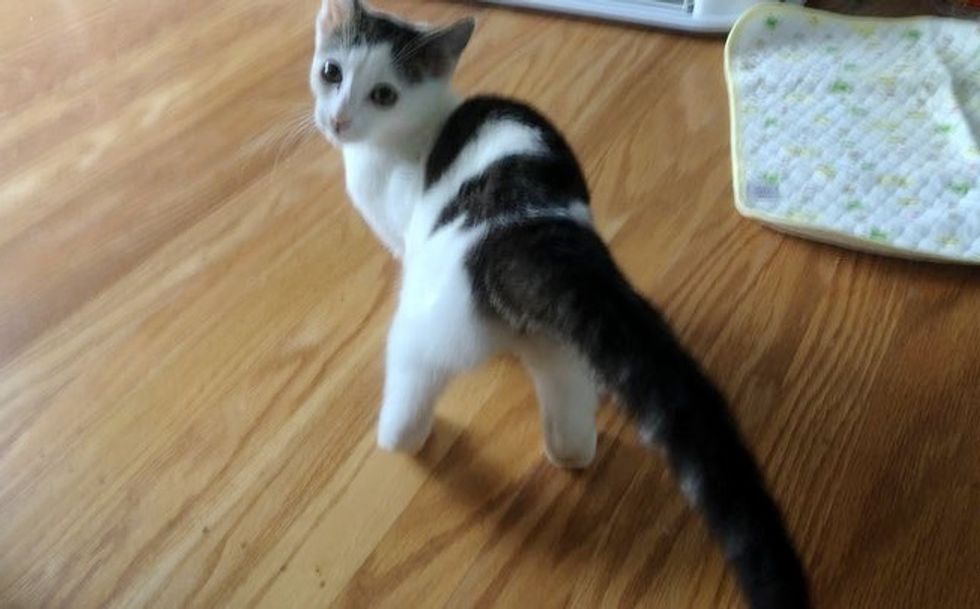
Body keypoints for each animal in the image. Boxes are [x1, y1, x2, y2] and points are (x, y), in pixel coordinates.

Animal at [310, 1, 810, 607]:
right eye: (331, 72)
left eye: (383, 94)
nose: (337, 121)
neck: (408, 137)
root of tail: (531, 231)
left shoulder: (402, 230)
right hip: (565, 350)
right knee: (570, 415)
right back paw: (568, 452)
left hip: (426, 331)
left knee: (411, 387)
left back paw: (399, 440)